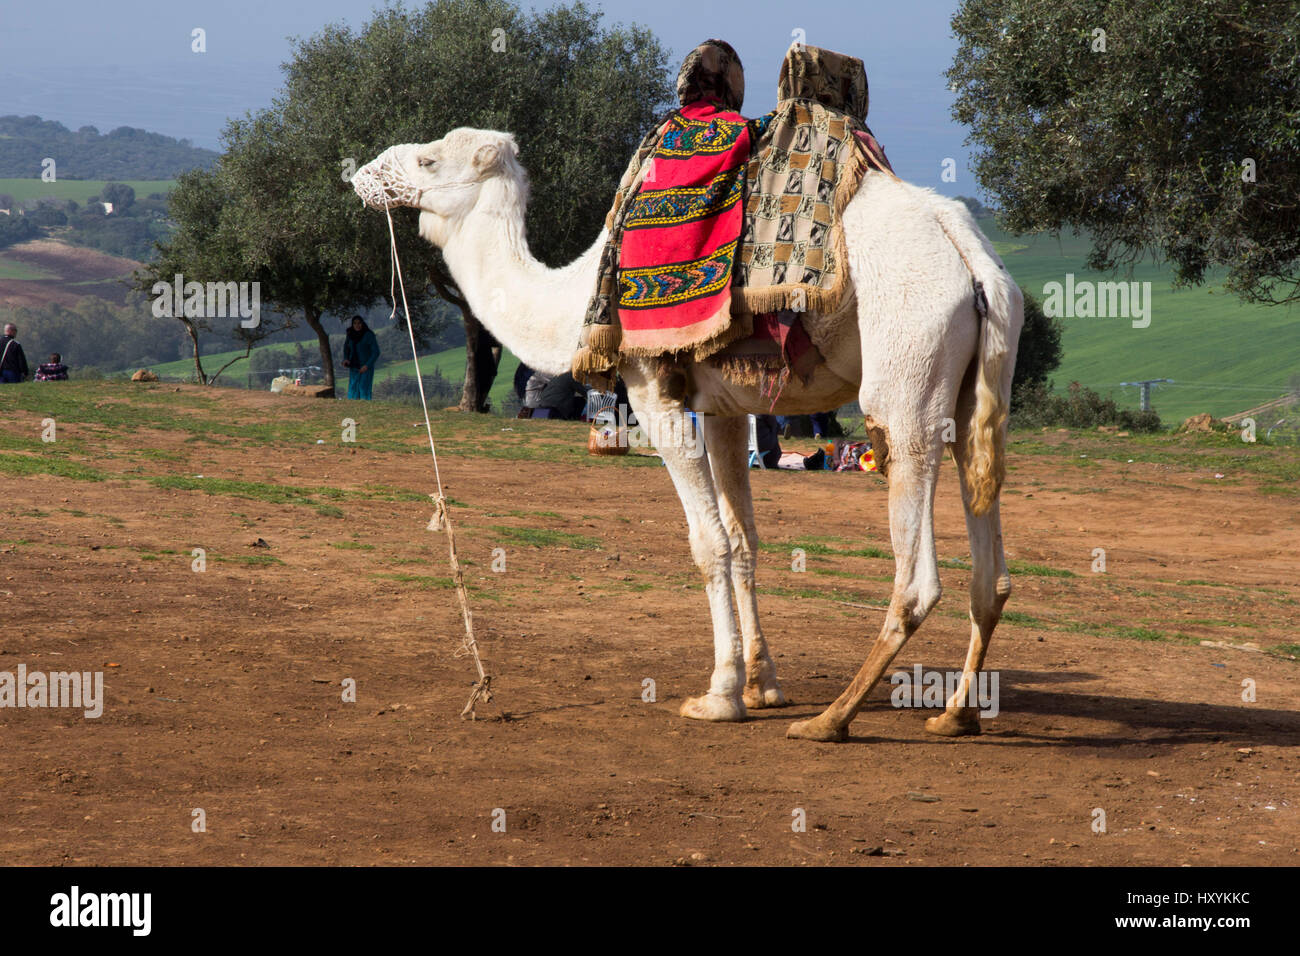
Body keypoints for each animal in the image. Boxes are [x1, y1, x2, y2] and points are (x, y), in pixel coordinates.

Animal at [353, 128, 1024, 738]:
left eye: (428, 159)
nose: (361, 174)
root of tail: (970, 254)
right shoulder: (728, 406)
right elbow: (744, 539)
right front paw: (762, 686)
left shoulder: (654, 390)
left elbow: (709, 544)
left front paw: (719, 696)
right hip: (973, 394)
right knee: (990, 569)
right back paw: (956, 714)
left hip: (906, 380)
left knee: (917, 577)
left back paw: (831, 719)